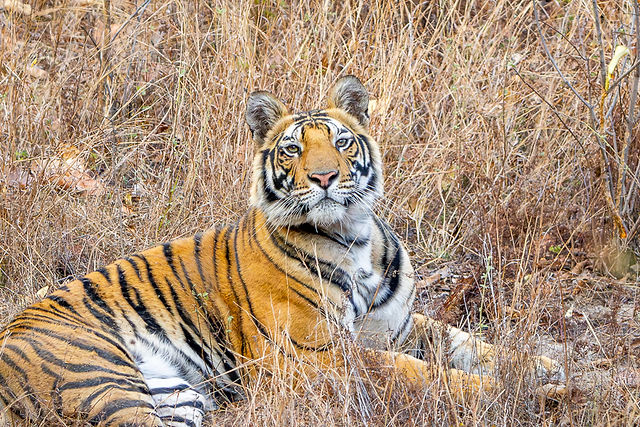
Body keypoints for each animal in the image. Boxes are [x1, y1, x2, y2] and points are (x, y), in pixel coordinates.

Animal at [0, 76, 565, 426]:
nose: (324, 177)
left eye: (342, 142)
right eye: (293, 148)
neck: (354, 235)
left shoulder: (398, 326)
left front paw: (541, 369)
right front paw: (520, 395)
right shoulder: (312, 355)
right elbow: (418, 374)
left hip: (176, 398)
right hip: (101, 378)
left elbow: (470, 345)